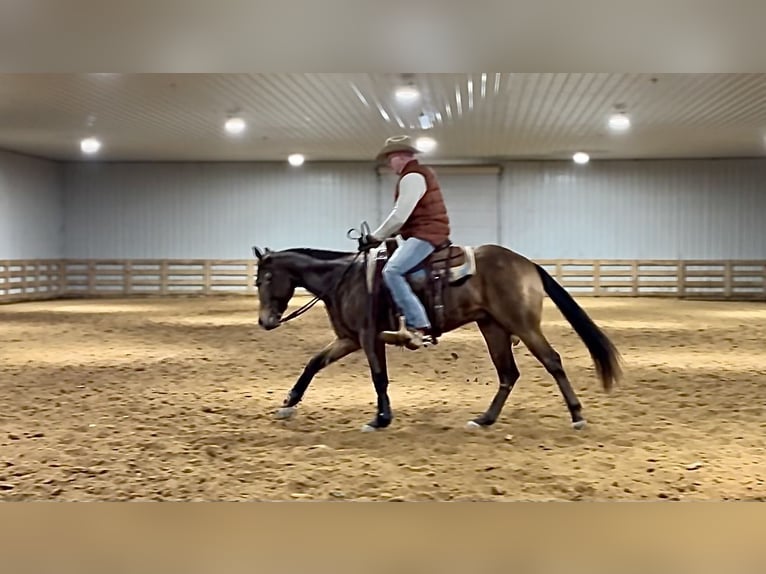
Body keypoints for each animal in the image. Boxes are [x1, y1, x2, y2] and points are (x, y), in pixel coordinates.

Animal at [254, 232, 624, 434]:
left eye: (267, 278)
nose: (265, 321)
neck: (345, 280)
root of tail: (528, 264)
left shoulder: (369, 337)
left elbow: (379, 378)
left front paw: (380, 419)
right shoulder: (349, 339)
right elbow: (314, 363)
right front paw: (287, 405)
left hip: (523, 325)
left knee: (552, 361)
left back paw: (577, 415)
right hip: (493, 328)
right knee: (508, 373)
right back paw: (484, 419)